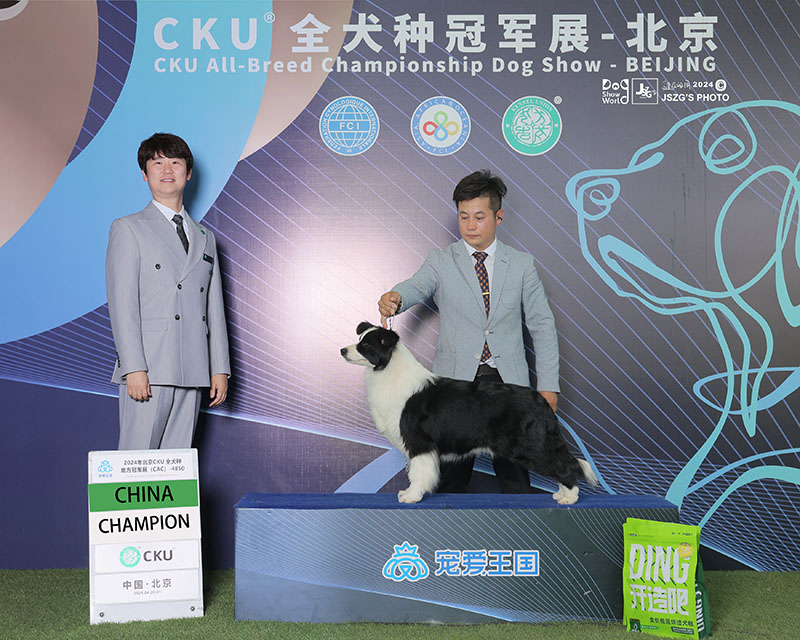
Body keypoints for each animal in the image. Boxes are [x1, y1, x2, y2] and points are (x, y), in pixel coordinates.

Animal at [340, 321, 597, 504]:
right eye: (359, 339)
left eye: (366, 346)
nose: (342, 350)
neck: (386, 370)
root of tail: (541, 399)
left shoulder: (419, 442)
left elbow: (418, 472)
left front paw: (411, 496)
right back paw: (561, 494)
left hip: (531, 443)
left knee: (564, 464)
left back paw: (569, 497)